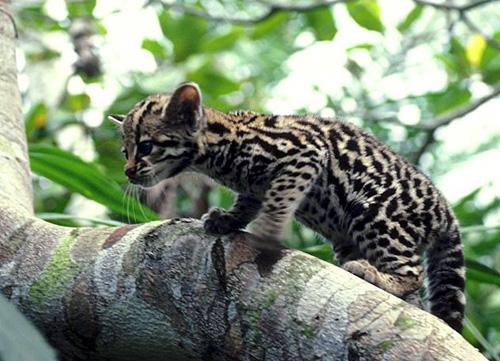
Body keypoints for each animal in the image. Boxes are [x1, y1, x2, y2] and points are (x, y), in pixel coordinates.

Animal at [108, 83, 464, 330]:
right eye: (124, 151)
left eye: (146, 146)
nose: (128, 171)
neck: (221, 149)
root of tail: (447, 214)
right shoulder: (253, 188)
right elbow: (248, 204)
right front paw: (226, 219)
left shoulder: (304, 152)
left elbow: (279, 199)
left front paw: (267, 233)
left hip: (378, 216)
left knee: (413, 273)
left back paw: (380, 276)